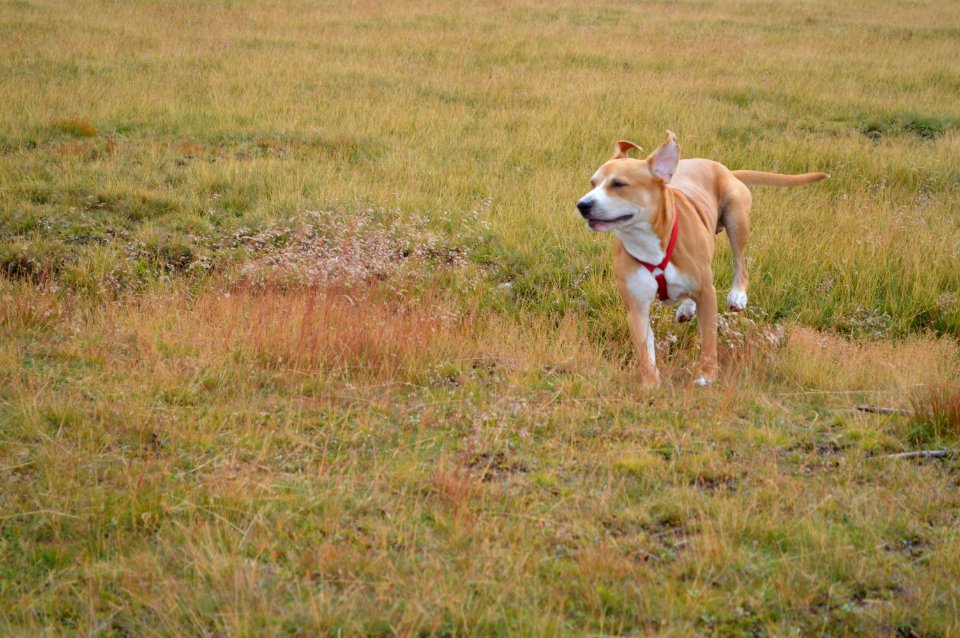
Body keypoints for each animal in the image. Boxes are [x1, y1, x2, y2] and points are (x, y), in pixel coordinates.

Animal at [576, 132, 824, 388]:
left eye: (619, 184)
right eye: (593, 183)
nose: (583, 205)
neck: (647, 242)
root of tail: (724, 169)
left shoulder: (707, 293)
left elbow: (709, 339)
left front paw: (707, 375)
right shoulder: (637, 308)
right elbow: (645, 352)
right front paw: (650, 384)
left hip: (736, 218)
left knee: (740, 263)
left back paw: (738, 295)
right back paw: (687, 306)